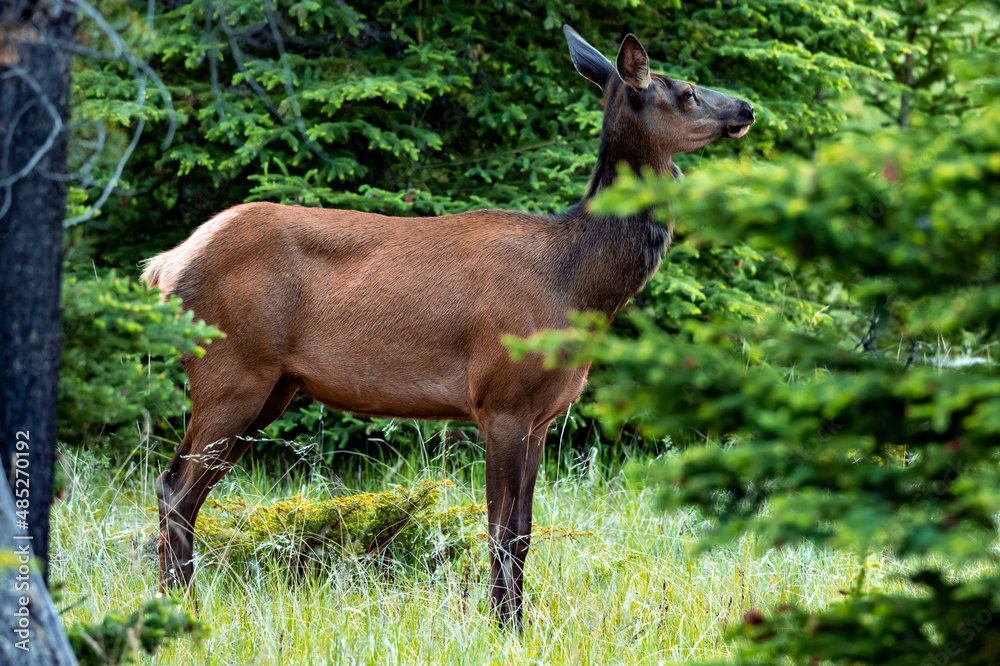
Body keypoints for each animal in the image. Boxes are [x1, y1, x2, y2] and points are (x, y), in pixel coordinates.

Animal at [139, 26, 752, 628]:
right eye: (688, 92)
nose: (747, 107)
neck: (576, 286)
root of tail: (165, 266)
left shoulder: (543, 415)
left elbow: (524, 530)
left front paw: (517, 624)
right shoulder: (500, 399)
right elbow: (501, 530)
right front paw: (501, 628)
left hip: (272, 386)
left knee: (180, 487)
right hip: (232, 371)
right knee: (176, 489)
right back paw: (181, 609)